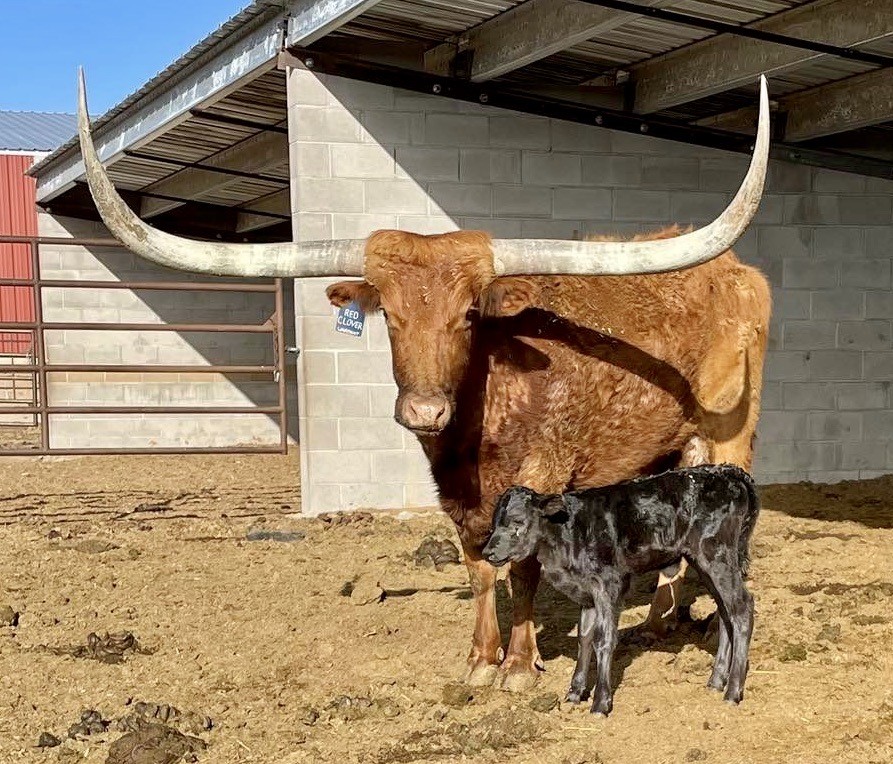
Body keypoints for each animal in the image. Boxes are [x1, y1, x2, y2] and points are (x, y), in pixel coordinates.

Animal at [482, 464, 761, 714]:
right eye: (494, 524)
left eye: (518, 521)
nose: (487, 552)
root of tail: (728, 472)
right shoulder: (587, 593)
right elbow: (584, 637)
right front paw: (575, 692)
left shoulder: (609, 585)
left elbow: (603, 639)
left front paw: (600, 702)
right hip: (704, 563)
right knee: (725, 611)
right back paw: (716, 681)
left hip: (717, 555)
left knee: (742, 608)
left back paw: (733, 691)